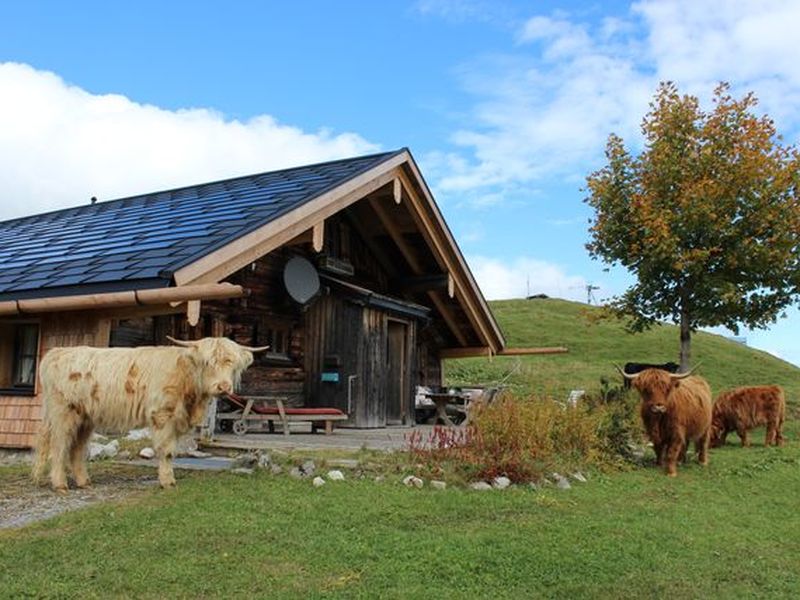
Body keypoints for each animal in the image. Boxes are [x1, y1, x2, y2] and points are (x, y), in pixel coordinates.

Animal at [32, 336, 266, 494]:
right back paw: (60, 485)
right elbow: (167, 451)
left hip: (84, 419)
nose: (224, 386)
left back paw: (83, 482)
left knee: (77, 449)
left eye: (232, 363)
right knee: (59, 447)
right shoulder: (162, 416)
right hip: (63, 414)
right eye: (208, 363)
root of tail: (57, 352)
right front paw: (167, 481)